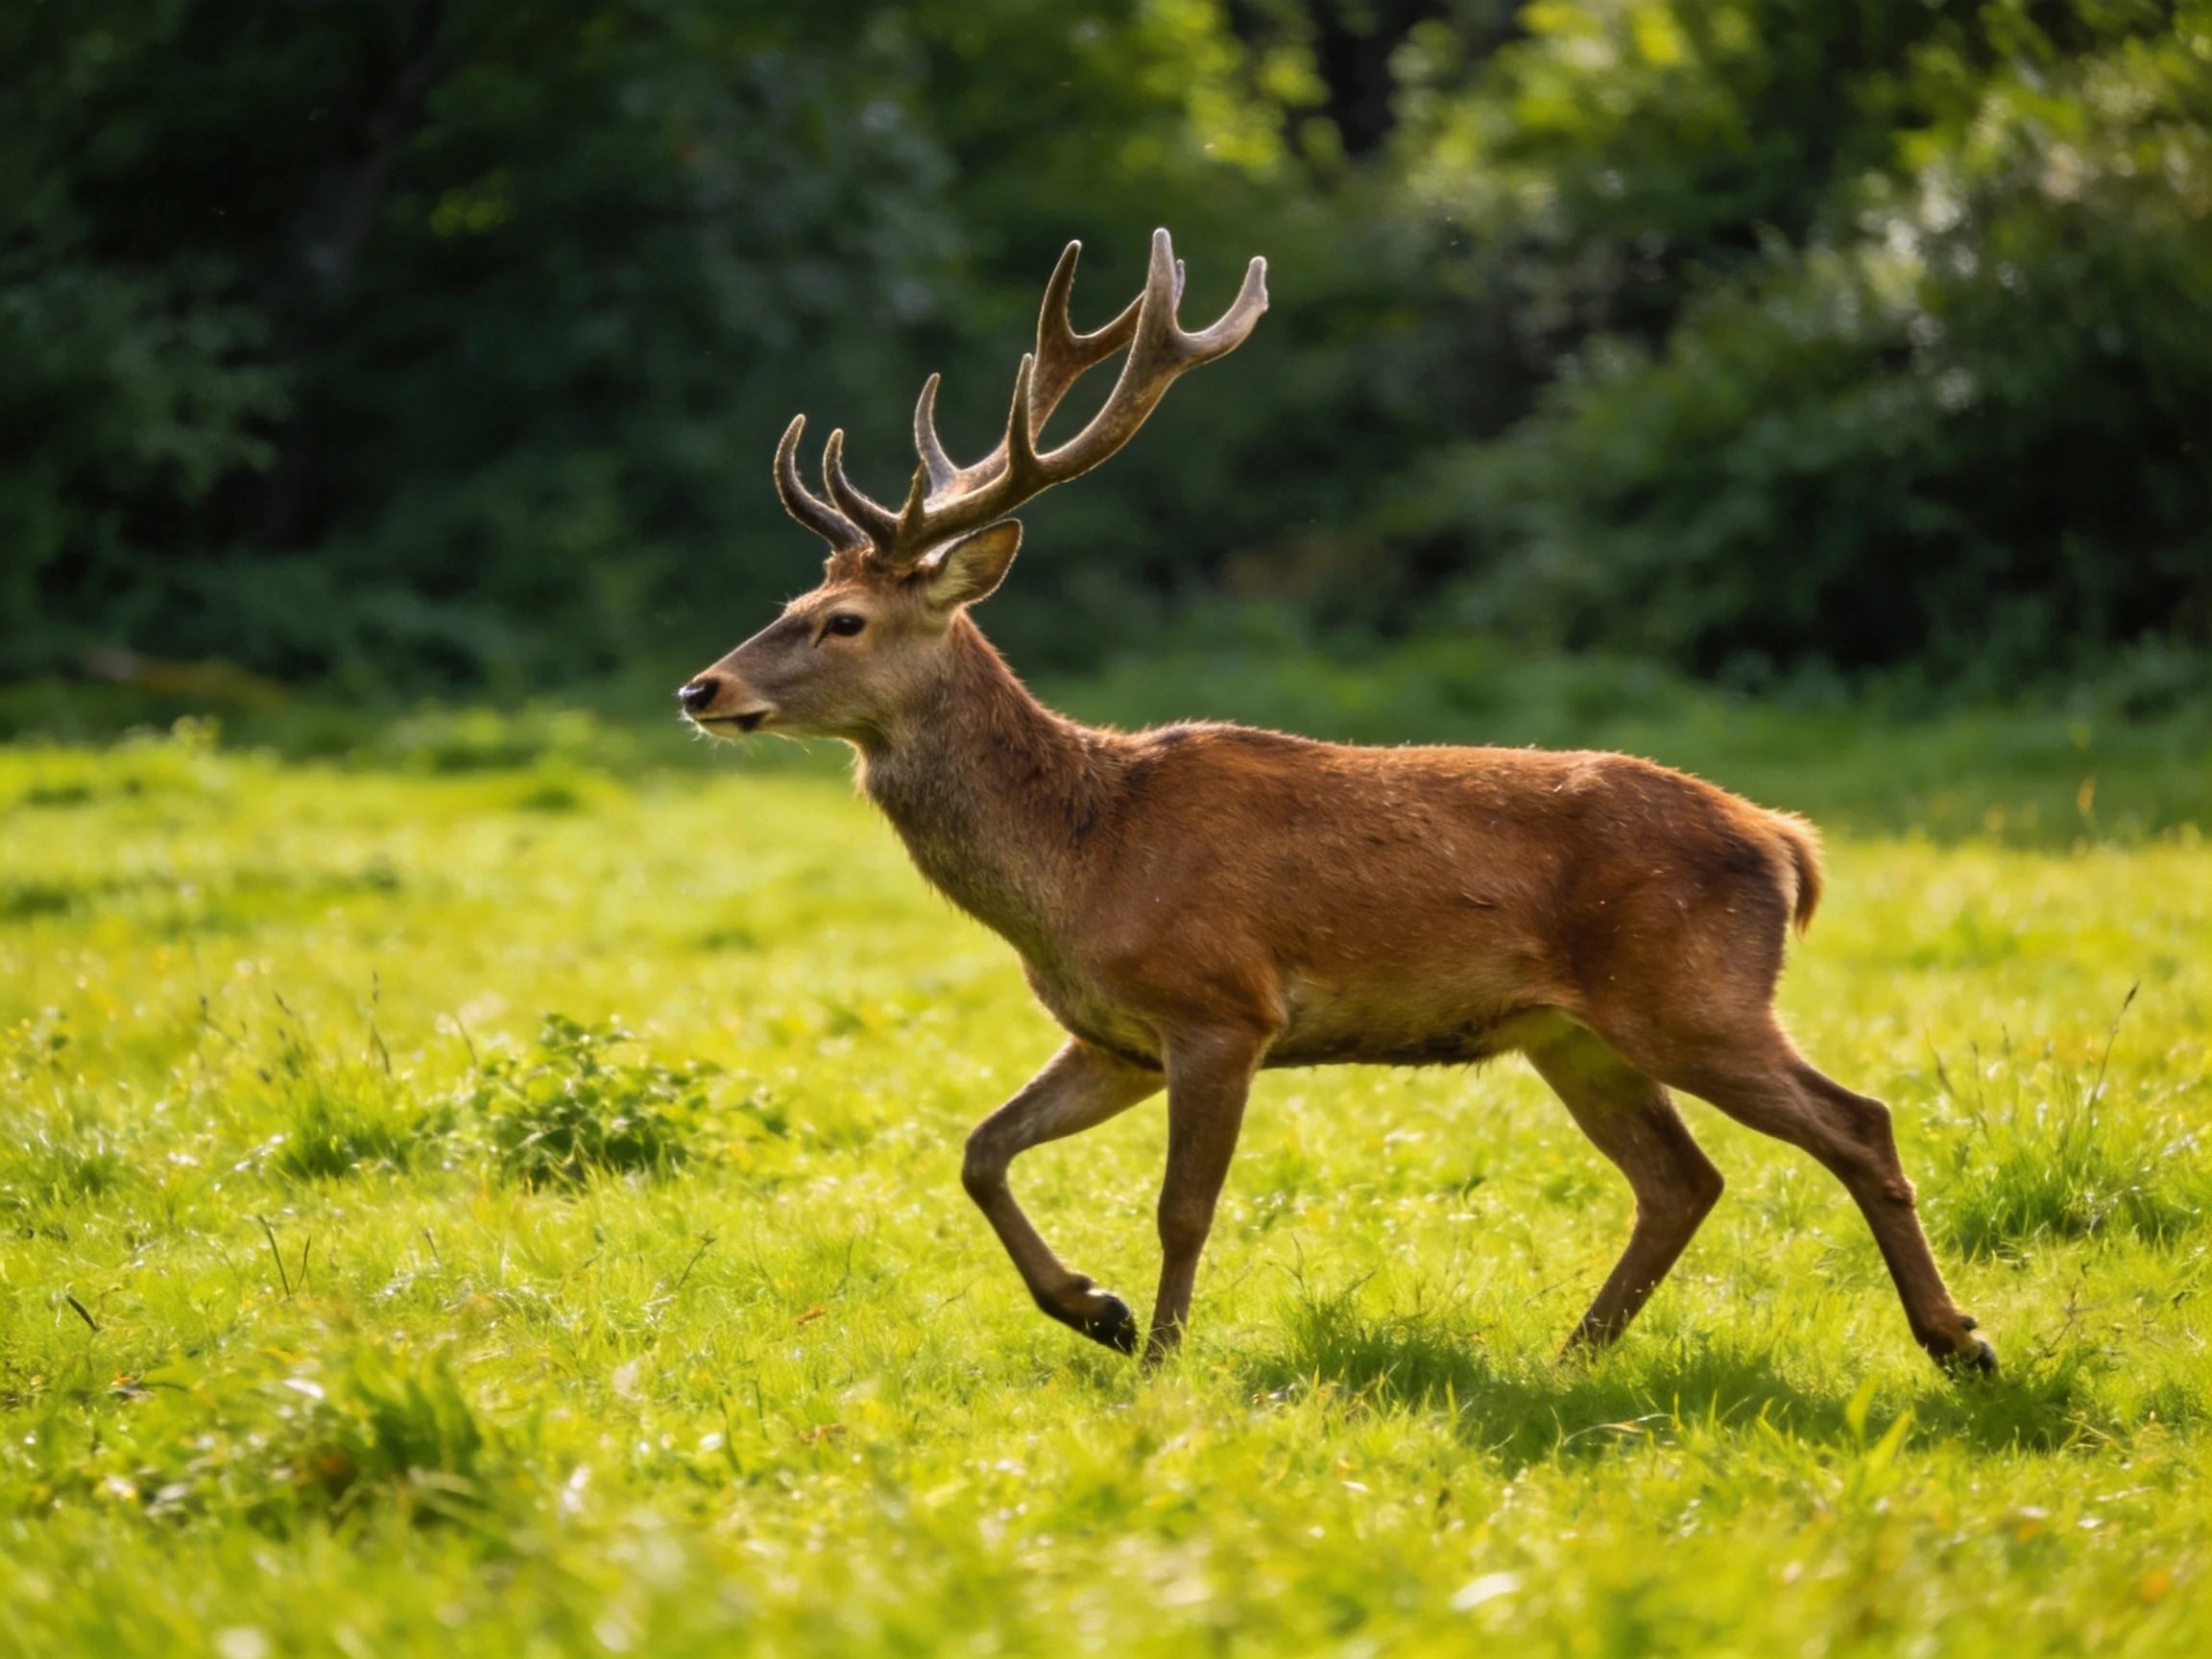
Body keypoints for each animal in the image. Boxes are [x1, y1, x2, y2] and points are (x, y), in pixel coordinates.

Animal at [679, 229, 1996, 1377]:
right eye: (791, 600)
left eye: (843, 621)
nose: (703, 688)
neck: (1077, 862)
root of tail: (1783, 840)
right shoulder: (1113, 1035)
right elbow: (978, 1150)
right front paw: (1094, 1311)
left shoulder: (1222, 1006)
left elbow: (1183, 1206)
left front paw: (1157, 1360)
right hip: (1574, 1030)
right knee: (1683, 1180)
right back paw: (1571, 1357)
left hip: (1694, 989)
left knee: (1856, 1121)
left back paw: (1957, 1341)